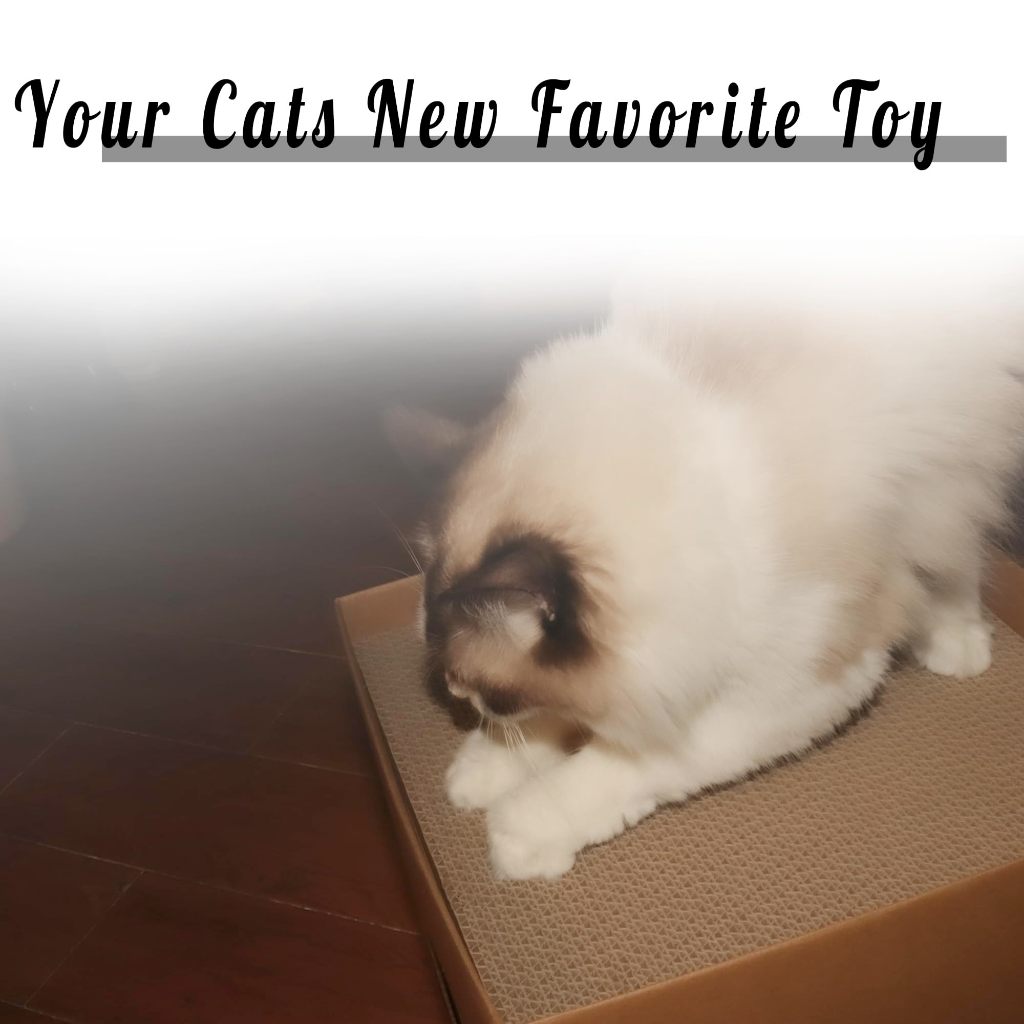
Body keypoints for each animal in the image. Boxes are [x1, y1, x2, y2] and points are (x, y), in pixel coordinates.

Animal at [391, 284, 1024, 881]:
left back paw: (957, 645)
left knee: (958, 549)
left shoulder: (792, 687)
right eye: (454, 680)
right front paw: (480, 773)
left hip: (953, 463)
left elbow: (620, 765)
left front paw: (518, 838)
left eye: (490, 692)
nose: (457, 694)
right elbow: (565, 720)